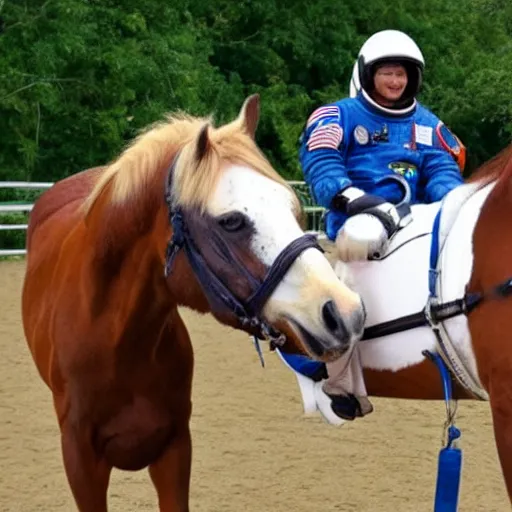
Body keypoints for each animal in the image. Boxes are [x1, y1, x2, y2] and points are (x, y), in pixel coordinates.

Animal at [20, 95, 364, 508]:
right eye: (231, 222)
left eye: (293, 208)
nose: (344, 313)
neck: (116, 341)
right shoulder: (81, 464)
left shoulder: (175, 449)